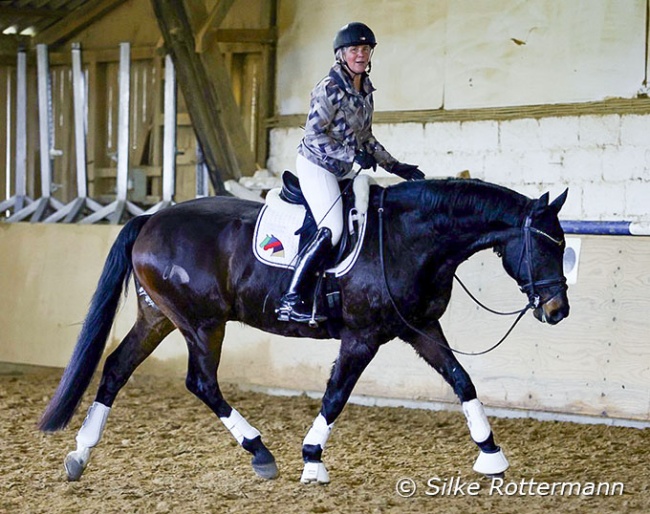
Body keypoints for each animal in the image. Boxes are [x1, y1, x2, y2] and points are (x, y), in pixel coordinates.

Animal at [39, 175, 568, 480]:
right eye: (546, 245)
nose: (558, 310)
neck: (406, 238)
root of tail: (149, 219)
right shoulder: (361, 336)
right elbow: (336, 394)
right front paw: (312, 458)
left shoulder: (420, 327)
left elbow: (462, 380)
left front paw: (492, 454)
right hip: (201, 323)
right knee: (201, 381)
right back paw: (259, 452)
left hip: (158, 317)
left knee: (115, 368)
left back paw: (80, 455)